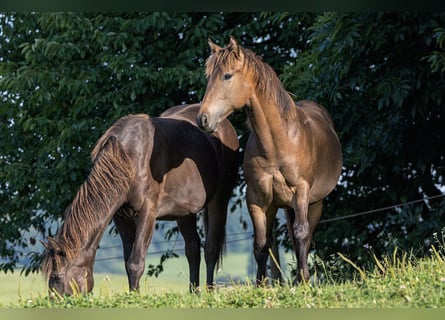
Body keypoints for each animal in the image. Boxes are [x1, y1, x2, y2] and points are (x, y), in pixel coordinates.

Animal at [40, 103, 239, 296]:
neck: (129, 157)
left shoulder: (147, 213)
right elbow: (127, 261)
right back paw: (194, 293)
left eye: (57, 277)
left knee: (211, 248)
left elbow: (135, 263)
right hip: (184, 212)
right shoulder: (122, 218)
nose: (54, 301)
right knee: (193, 249)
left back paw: (210, 292)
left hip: (219, 200)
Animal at [196, 36, 342, 284]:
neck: (277, 144)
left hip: (314, 203)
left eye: (227, 75)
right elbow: (261, 244)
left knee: (304, 236)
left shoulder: (301, 192)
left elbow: (301, 235)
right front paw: (261, 285)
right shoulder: (257, 200)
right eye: (209, 77)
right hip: (276, 206)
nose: (203, 119)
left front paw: (303, 281)